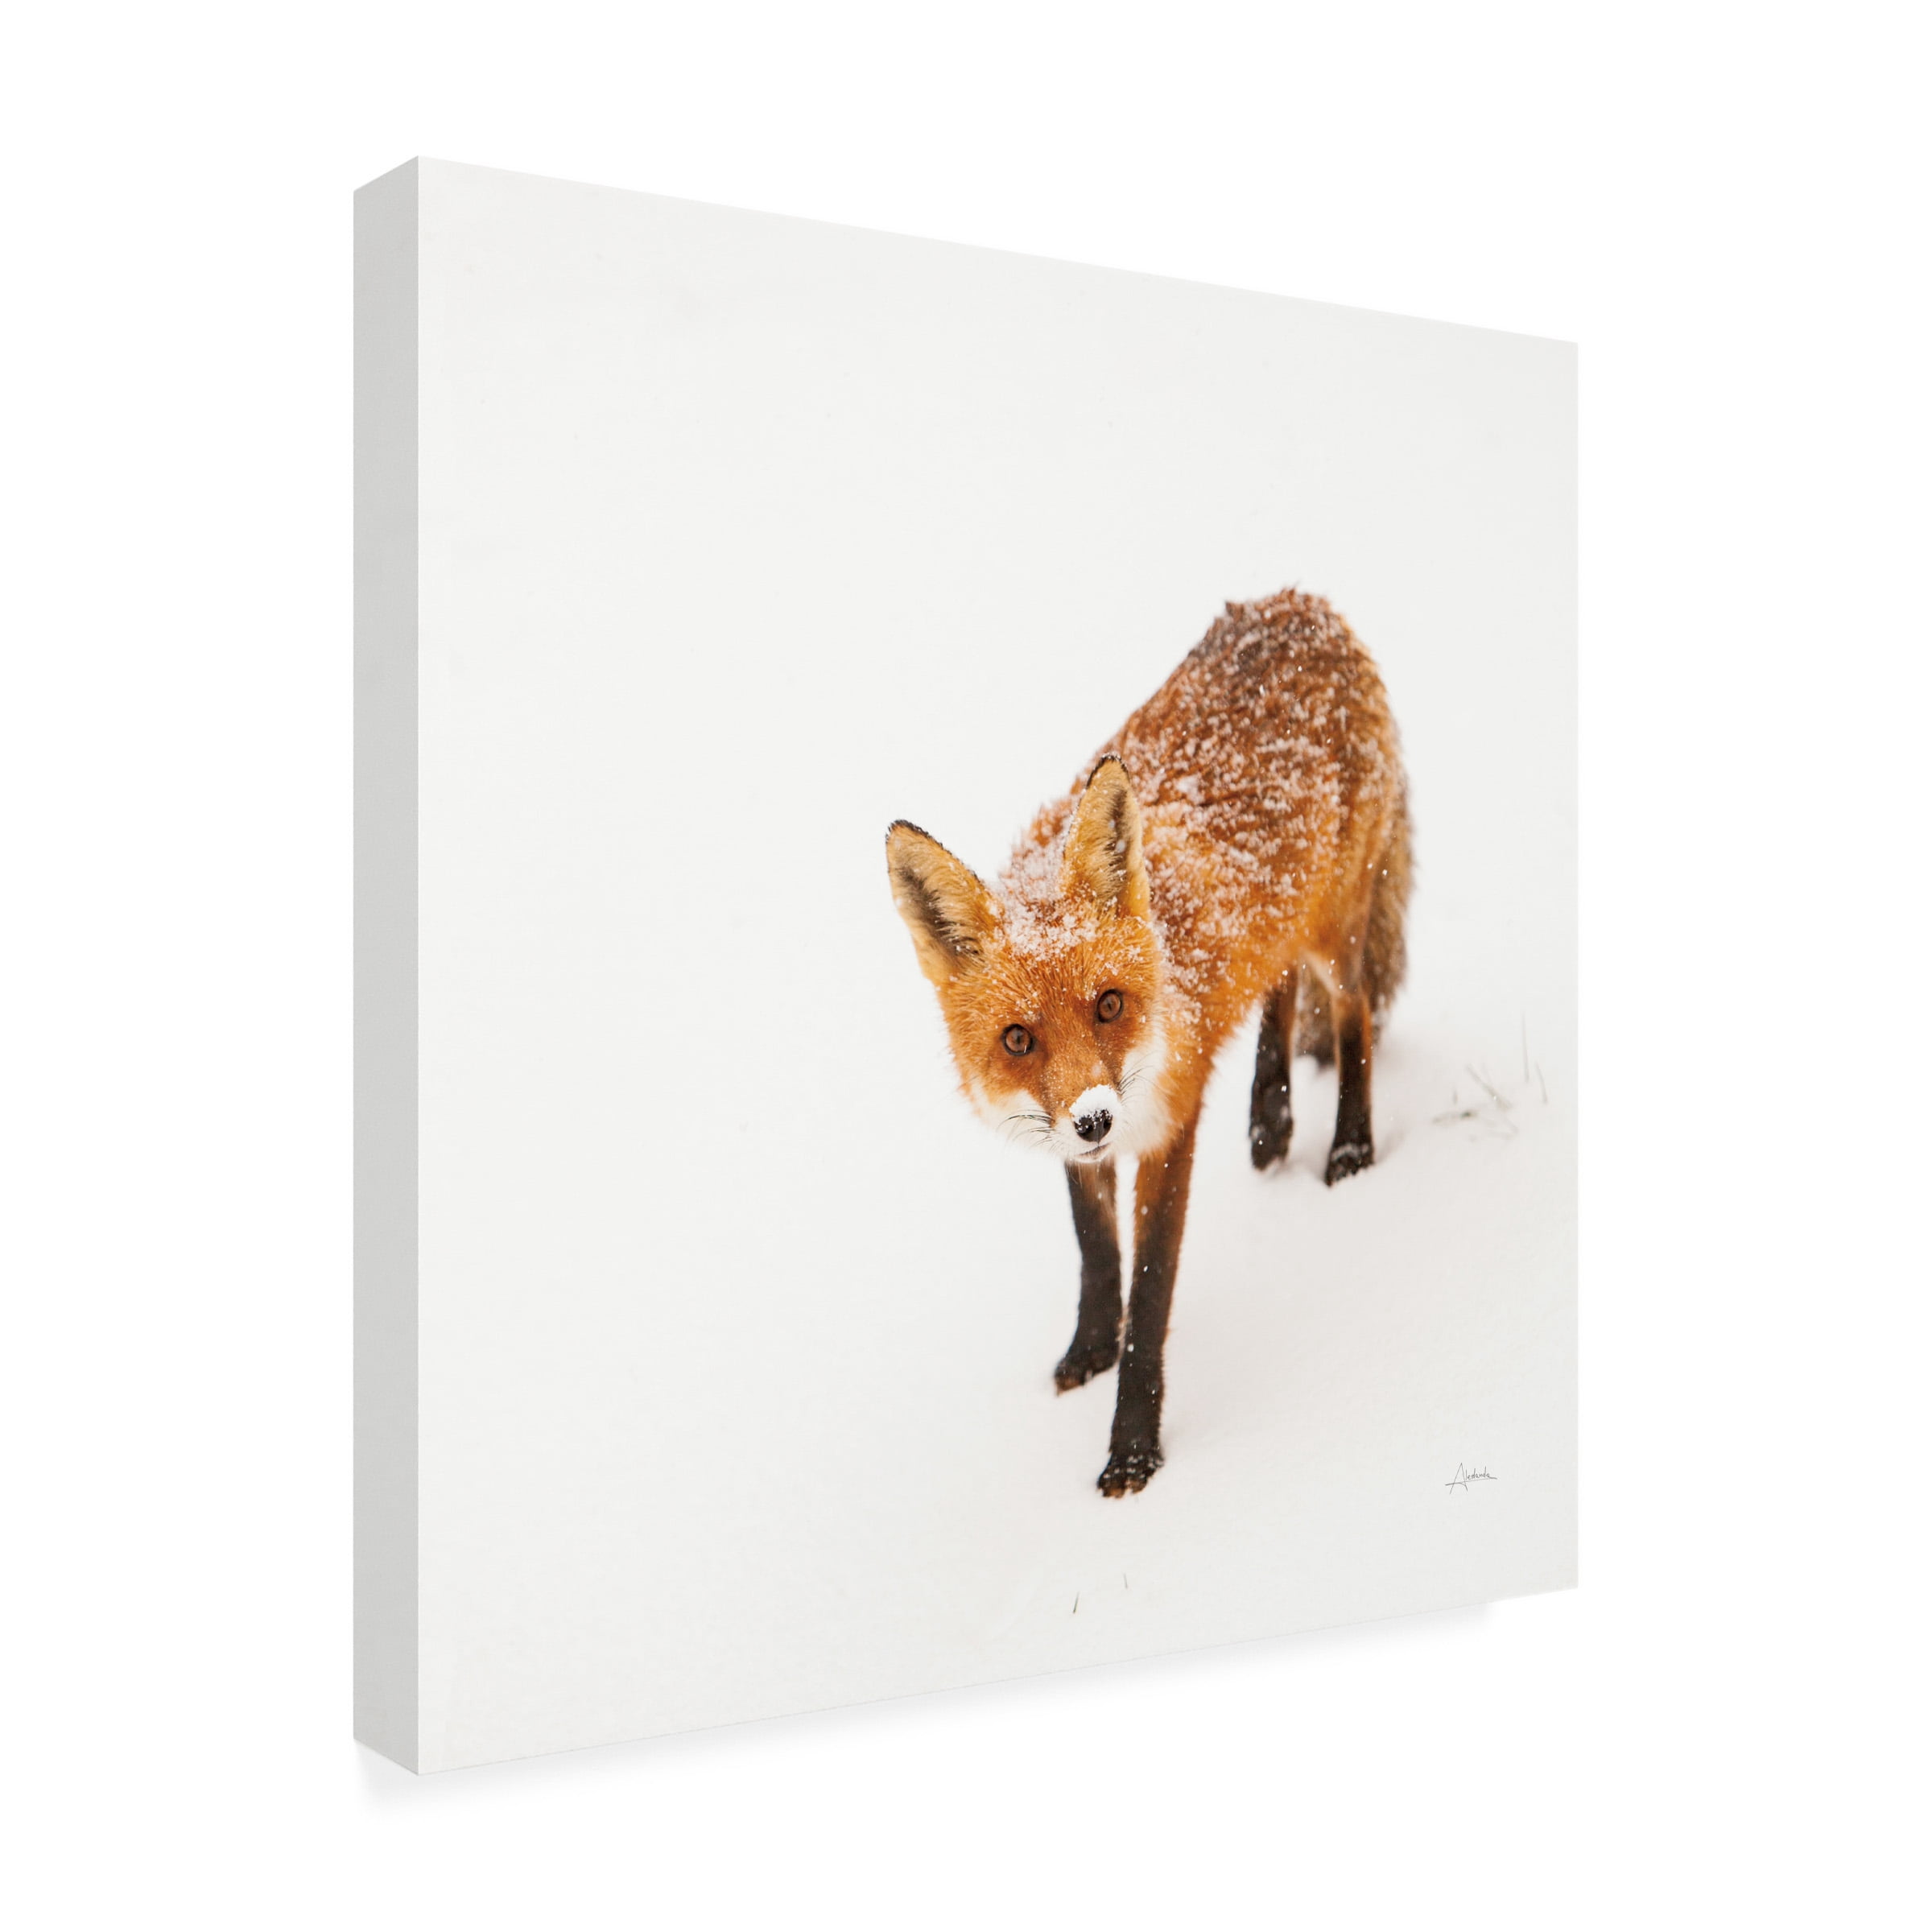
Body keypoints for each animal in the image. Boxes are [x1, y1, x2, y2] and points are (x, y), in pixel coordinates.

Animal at [886, 587, 1411, 1497]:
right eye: (1018, 1039)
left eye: (1109, 1004)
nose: (1096, 1119)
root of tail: (1297, 600)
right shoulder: (1070, 1134)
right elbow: (1096, 1253)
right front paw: (1089, 1350)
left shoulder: (1170, 1129)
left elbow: (1152, 1293)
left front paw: (1133, 1448)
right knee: (1276, 981)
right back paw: (1271, 1120)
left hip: (1338, 929)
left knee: (1349, 1021)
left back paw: (1349, 1148)